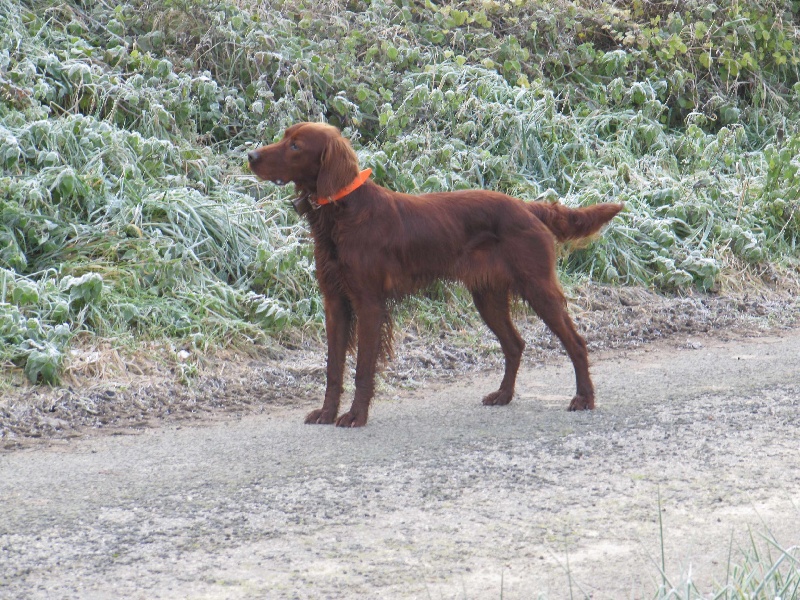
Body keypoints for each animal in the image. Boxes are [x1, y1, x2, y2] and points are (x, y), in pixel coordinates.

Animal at [247, 122, 620, 426]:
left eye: (296, 146)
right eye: (284, 137)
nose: (251, 156)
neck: (343, 215)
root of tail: (527, 207)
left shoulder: (369, 303)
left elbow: (363, 367)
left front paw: (355, 416)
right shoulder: (335, 303)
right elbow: (333, 367)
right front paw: (327, 413)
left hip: (537, 287)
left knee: (575, 342)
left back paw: (584, 398)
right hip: (487, 297)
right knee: (515, 344)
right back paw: (503, 395)